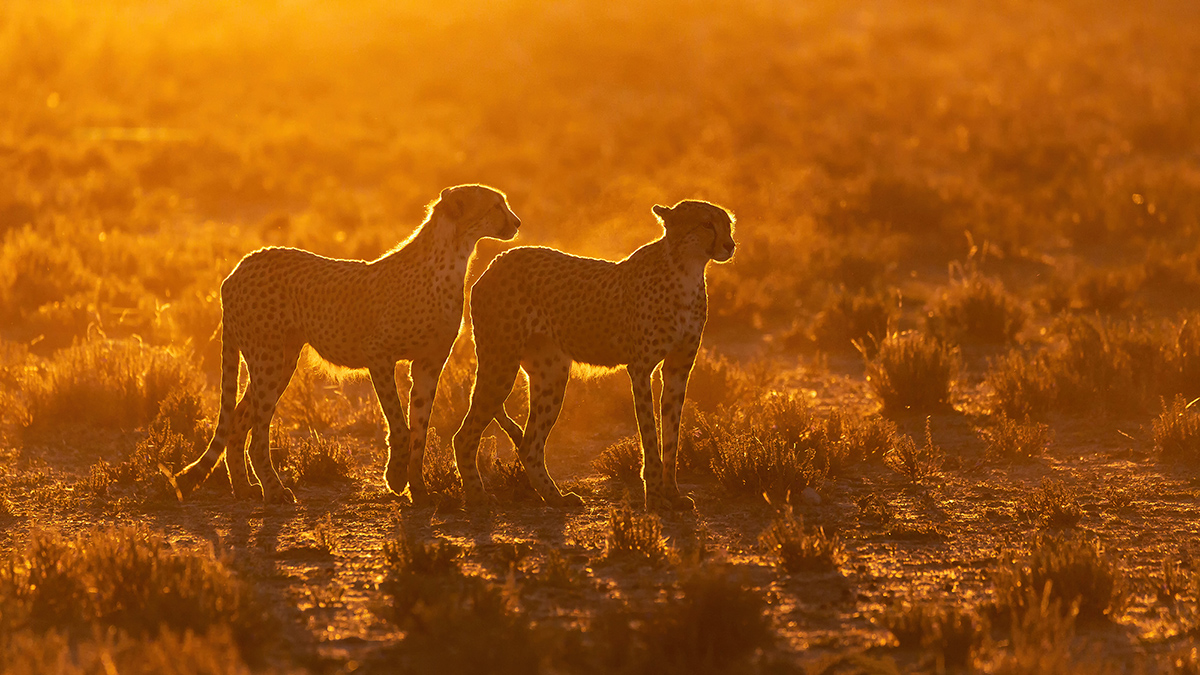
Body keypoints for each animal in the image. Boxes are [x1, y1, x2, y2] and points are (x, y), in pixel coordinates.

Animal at [172, 182, 520, 499]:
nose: (517, 222)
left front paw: (419, 490)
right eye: (495, 206)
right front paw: (396, 478)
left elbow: (420, 426)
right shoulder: (378, 355)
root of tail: (239, 266)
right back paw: (274, 490)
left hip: (281, 359)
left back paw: (244, 488)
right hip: (267, 358)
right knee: (257, 432)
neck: (451, 255)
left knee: (237, 422)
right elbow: (399, 424)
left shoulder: (429, 362)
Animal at [451, 196, 729, 506]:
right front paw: (656, 497)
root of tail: (498, 260)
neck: (686, 270)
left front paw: (673, 494)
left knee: (530, 445)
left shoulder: (678, 368)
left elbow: (672, 434)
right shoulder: (640, 368)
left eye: (727, 225)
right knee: (464, 436)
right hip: (501, 364)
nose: (730, 245)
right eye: (706, 224)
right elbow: (649, 433)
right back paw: (478, 496)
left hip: (552, 374)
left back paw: (556, 497)